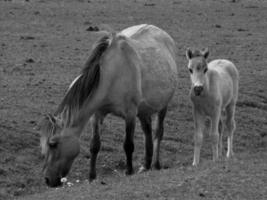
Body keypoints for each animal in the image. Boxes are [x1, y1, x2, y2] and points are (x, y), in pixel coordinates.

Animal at [37, 24, 179, 188]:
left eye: (53, 144)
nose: (48, 179)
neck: (111, 74)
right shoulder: (96, 114)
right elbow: (94, 145)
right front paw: (92, 176)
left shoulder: (130, 113)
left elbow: (128, 145)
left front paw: (129, 171)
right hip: (143, 111)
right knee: (147, 132)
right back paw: (145, 165)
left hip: (163, 106)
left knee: (158, 133)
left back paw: (155, 164)